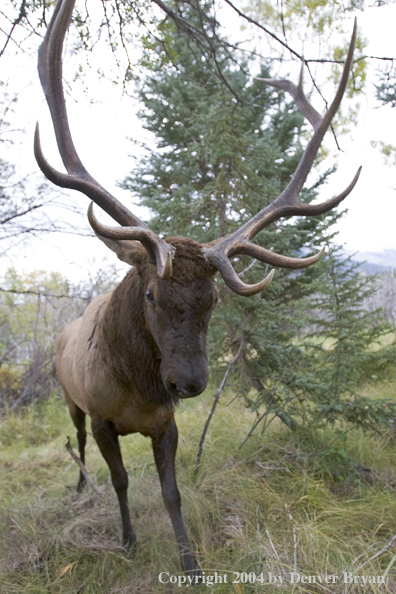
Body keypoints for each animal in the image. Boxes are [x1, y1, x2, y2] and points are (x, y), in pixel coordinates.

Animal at [35, 0, 360, 576]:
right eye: (150, 294)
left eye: (213, 298)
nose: (187, 382)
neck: (137, 393)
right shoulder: (102, 417)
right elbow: (120, 481)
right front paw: (128, 541)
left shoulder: (166, 424)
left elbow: (172, 494)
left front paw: (189, 563)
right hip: (68, 397)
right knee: (74, 440)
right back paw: (78, 485)